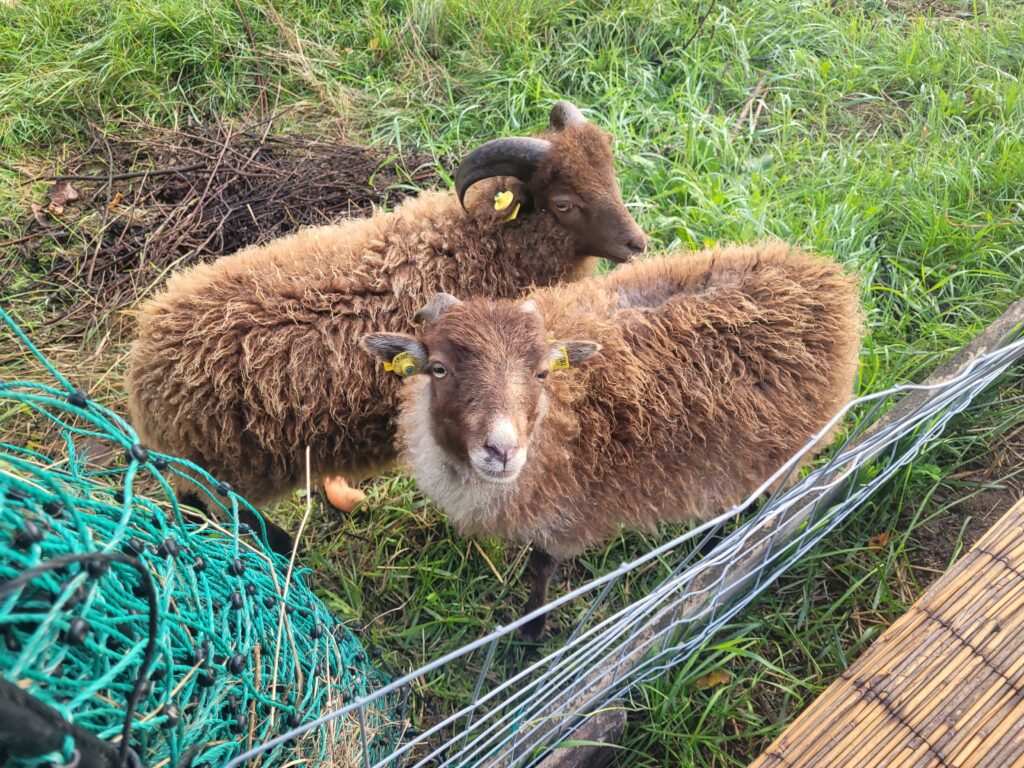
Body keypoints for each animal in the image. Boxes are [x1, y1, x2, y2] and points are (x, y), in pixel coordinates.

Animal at [125, 100, 638, 552]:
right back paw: (285, 550)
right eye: (564, 203)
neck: (482, 243)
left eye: (611, 178)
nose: (638, 244)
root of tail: (145, 372)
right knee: (223, 510)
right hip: (225, 474)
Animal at [360, 243, 864, 638]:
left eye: (541, 373)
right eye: (439, 368)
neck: (564, 411)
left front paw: (531, 632)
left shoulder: (568, 516)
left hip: (786, 453)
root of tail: (827, 278)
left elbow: (541, 570)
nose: (502, 451)